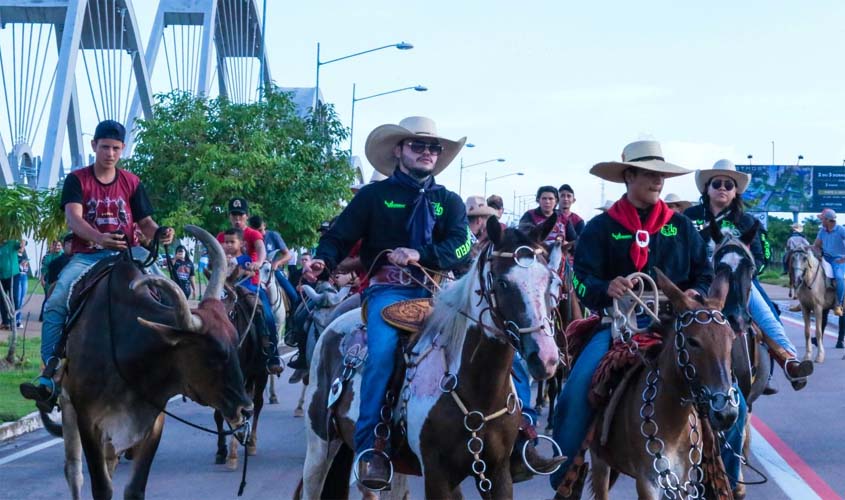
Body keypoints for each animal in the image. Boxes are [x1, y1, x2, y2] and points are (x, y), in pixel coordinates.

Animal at [296, 218, 560, 500]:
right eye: (502, 283)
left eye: (550, 281)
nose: (545, 357)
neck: (476, 389)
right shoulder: (437, 475)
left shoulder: (498, 472)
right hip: (319, 448)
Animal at [588, 270, 740, 500]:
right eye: (693, 341)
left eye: (731, 339)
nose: (726, 413)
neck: (673, 423)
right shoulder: (648, 482)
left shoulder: (684, 482)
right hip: (599, 461)